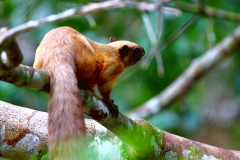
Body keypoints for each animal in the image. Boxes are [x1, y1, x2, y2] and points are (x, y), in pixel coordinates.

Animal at [33, 26, 145, 159]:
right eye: (136, 50)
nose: (144, 51)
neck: (114, 51)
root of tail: (57, 51)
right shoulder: (113, 67)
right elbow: (104, 87)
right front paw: (110, 104)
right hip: (88, 61)